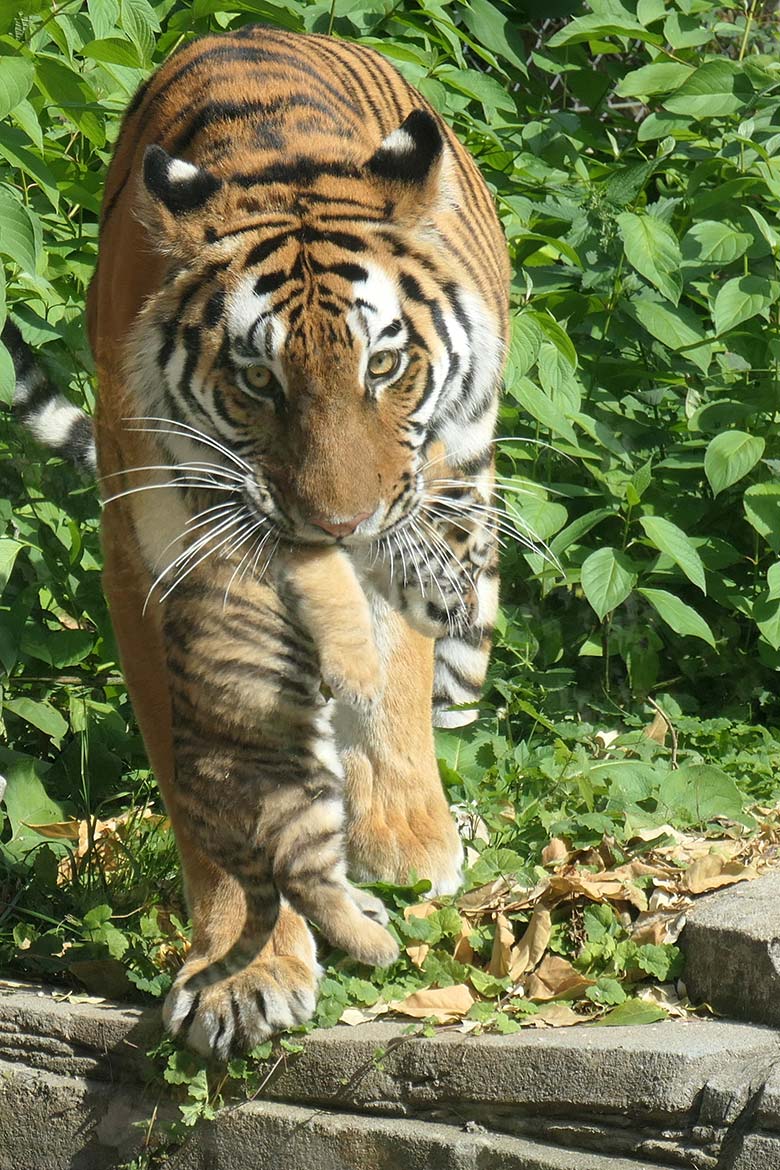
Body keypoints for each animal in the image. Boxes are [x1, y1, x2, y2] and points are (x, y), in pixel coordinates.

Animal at [5, 22, 509, 1057]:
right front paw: (247, 971)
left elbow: (392, 670)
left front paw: (401, 845)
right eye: (257, 380)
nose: (339, 522)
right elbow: (216, 768)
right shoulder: (153, 558)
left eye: (384, 366)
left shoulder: (404, 521)